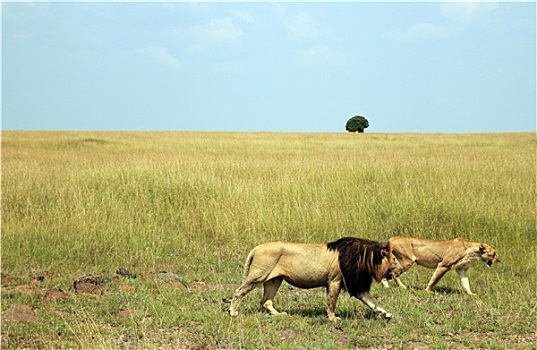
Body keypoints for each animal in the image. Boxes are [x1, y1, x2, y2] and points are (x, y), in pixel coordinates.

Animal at [227, 237, 402, 322]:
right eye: (394, 259)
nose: (400, 269)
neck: (365, 259)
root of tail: (257, 247)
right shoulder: (335, 281)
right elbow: (331, 302)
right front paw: (333, 318)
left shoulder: (356, 285)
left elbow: (373, 302)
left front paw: (386, 314)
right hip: (258, 275)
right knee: (238, 291)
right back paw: (233, 312)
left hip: (275, 280)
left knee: (265, 301)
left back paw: (279, 315)